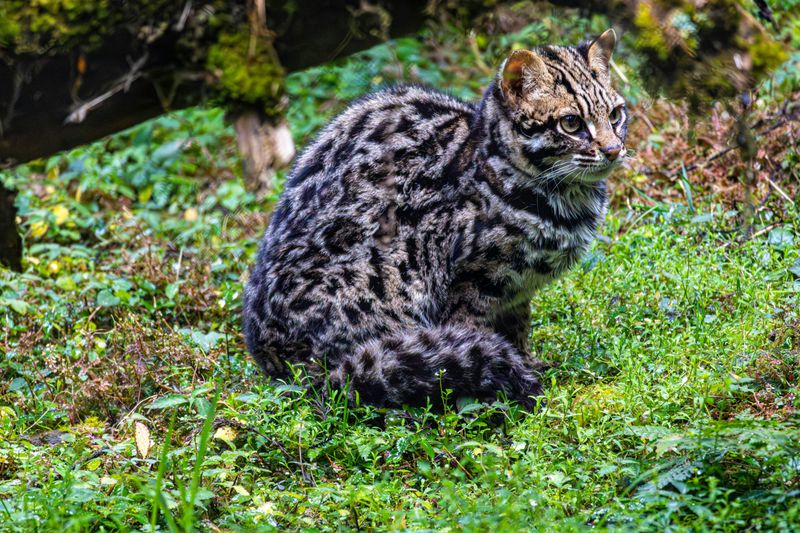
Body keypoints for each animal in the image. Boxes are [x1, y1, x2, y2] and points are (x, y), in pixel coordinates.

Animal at [241, 29, 628, 410]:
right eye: (571, 123)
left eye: (615, 115)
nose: (613, 150)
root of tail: (273, 358)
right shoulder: (469, 281)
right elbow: (474, 332)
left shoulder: (517, 292)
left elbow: (518, 326)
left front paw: (527, 360)